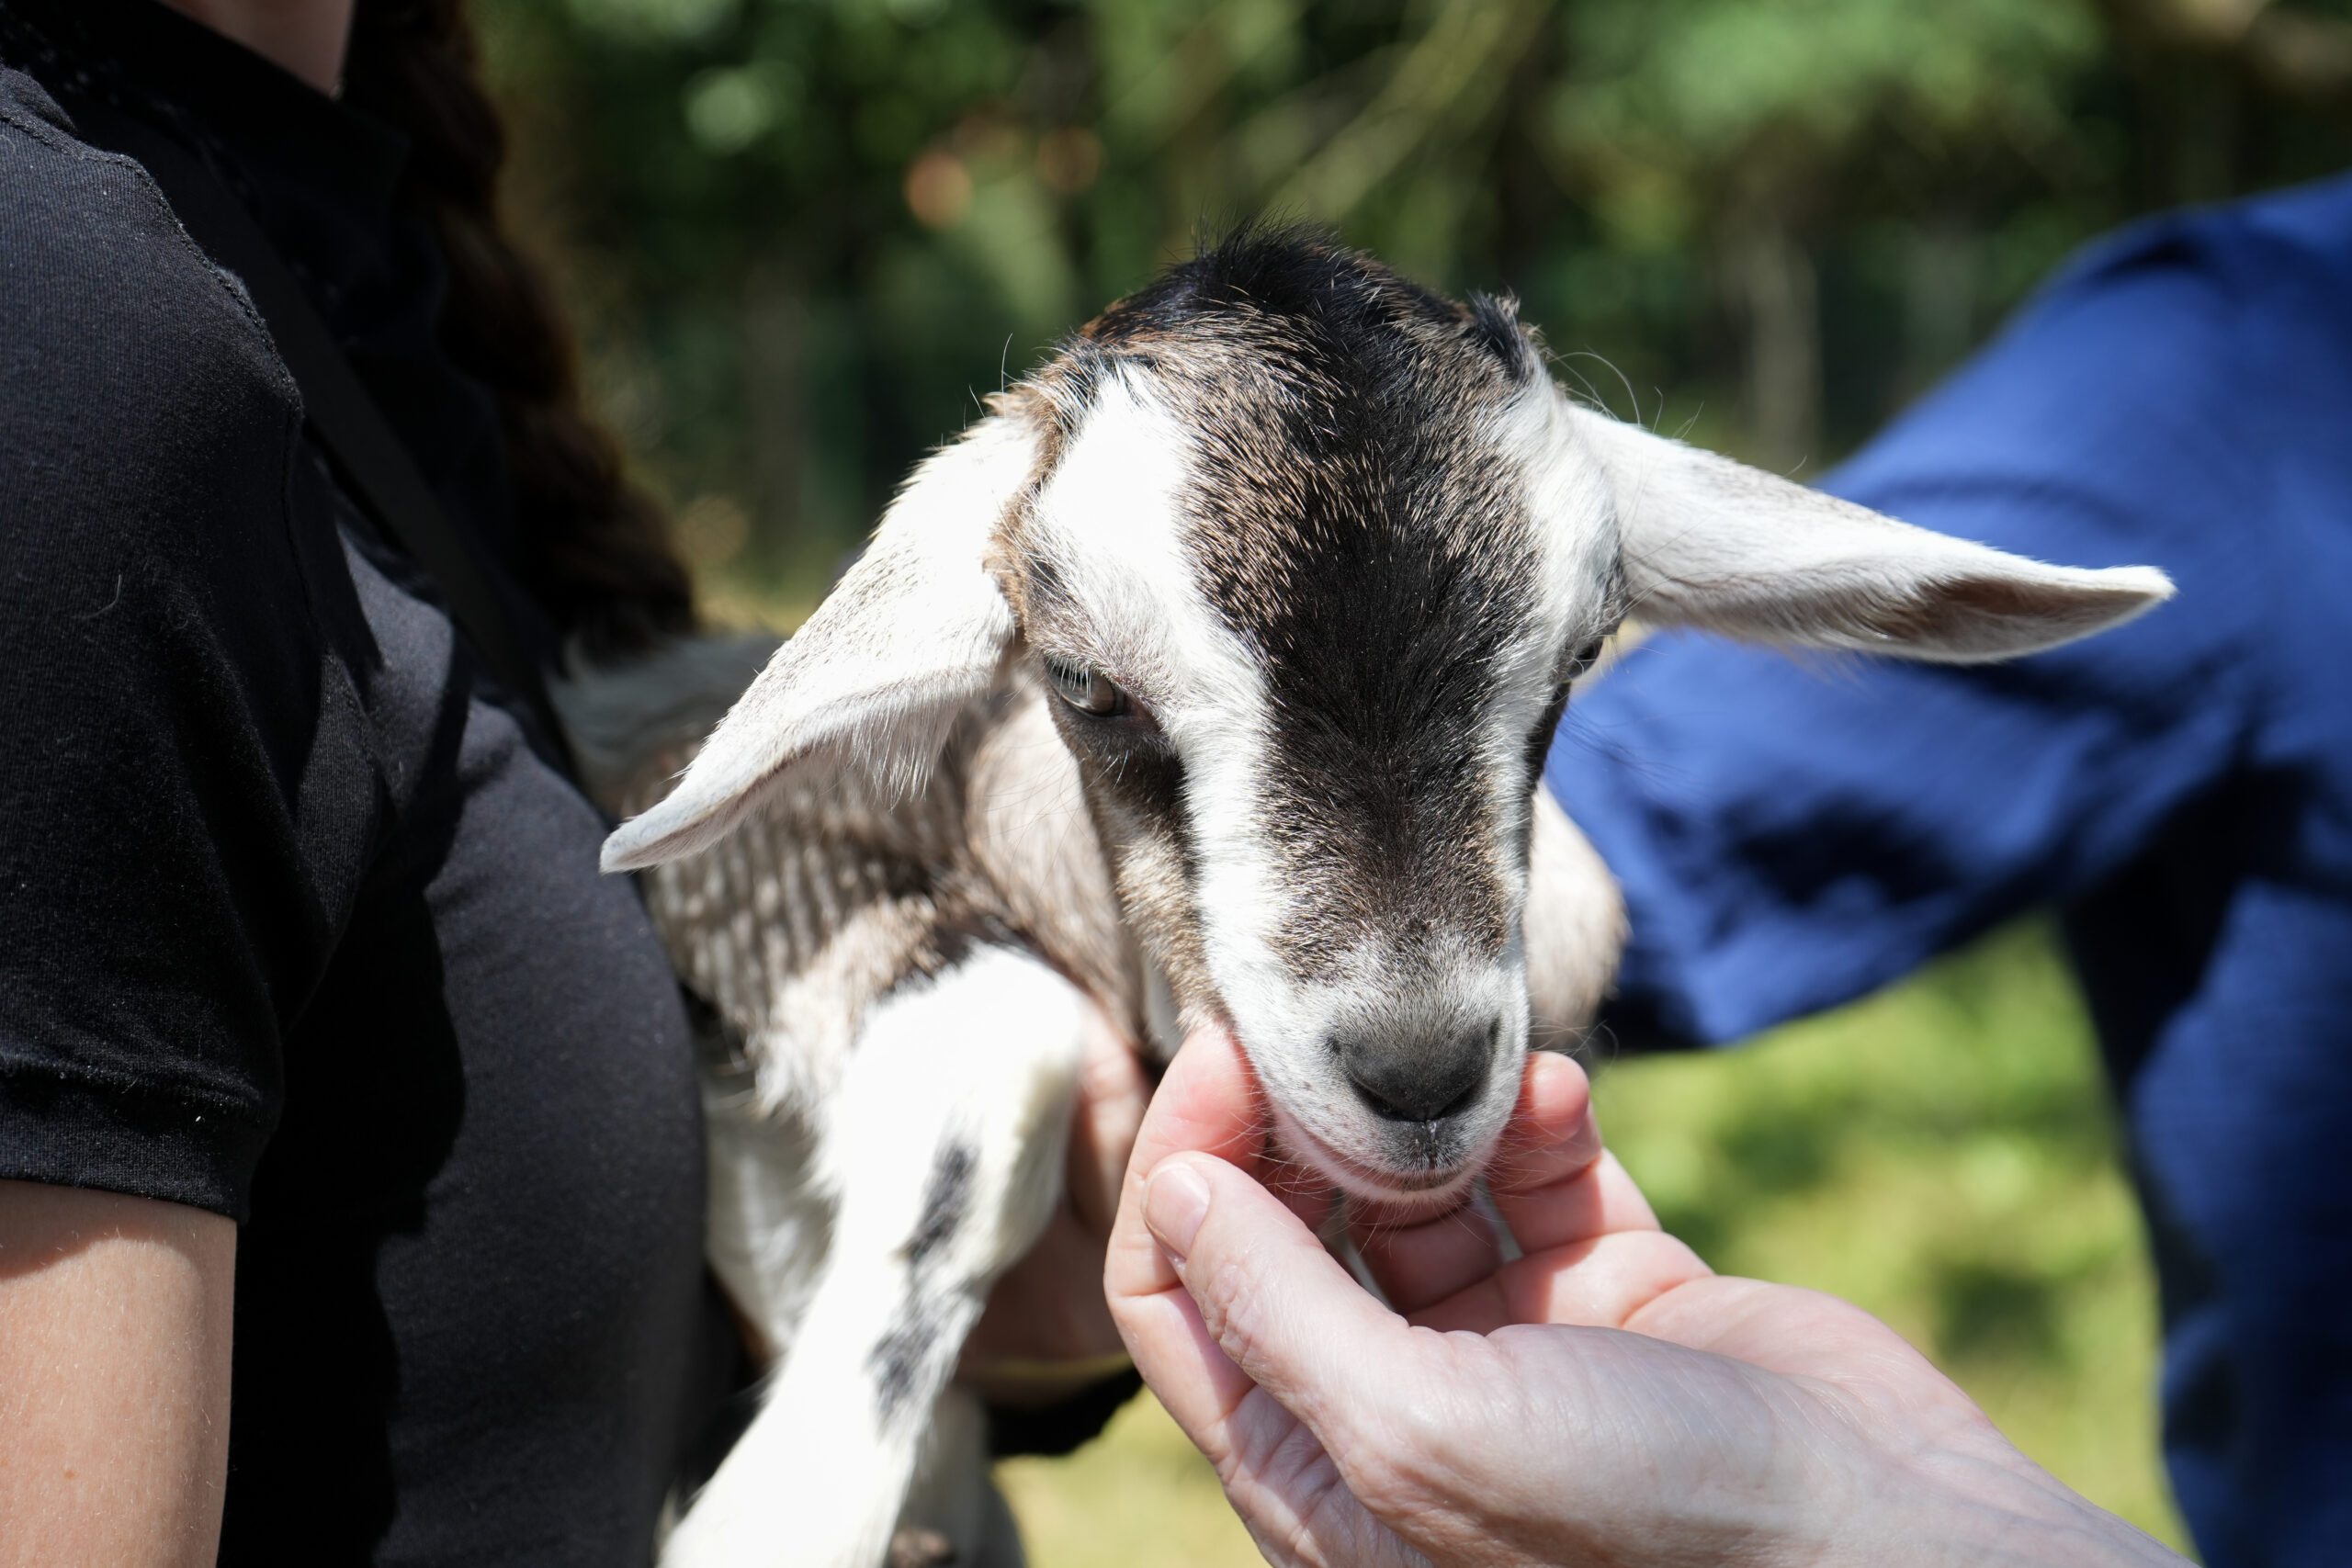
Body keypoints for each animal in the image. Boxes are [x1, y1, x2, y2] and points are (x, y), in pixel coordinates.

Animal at [576, 233, 2172, 1568]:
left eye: (1584, 648)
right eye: (1084, 685)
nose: (1417, 1071)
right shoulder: (751, 865)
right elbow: (998, 1041)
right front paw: (783, 1511)